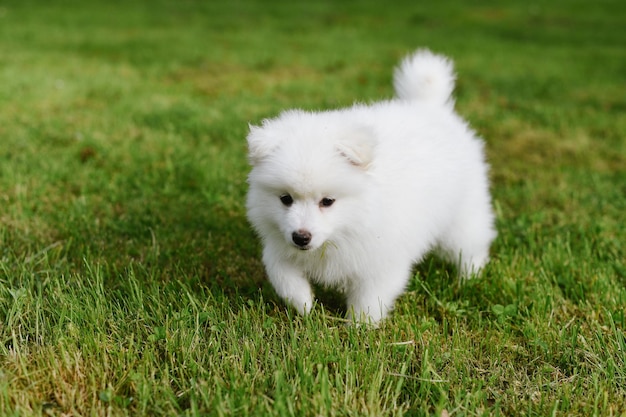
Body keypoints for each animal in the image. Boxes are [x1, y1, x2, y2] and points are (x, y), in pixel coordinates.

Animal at [246, 48, 494, 322]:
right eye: (285, 199)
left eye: (327, 201)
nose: (301, 237)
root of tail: (430, 107)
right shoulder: (278, 245)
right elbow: (285, 277)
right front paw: (306, 307)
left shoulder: (381, 259)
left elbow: (369, 298)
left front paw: (358, 326)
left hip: (462, 213)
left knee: (471, 243)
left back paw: (470, 276)